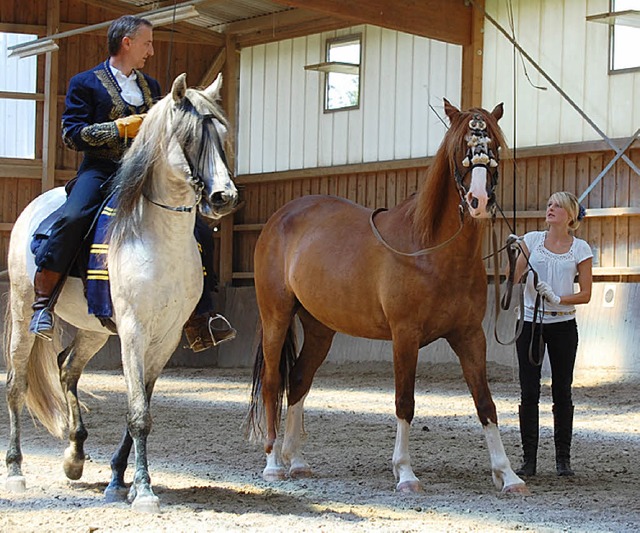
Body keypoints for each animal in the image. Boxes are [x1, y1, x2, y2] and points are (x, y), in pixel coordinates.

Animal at [3, 72, 238, 512]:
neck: (159, 236)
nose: (224, 197)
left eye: (222, 136)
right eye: (190, 138)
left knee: (66, 368)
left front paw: (118, 479)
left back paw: (75, 457)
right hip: (26, 314)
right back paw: (14, 472)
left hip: (94, 329)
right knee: (16, 386)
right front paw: (143, 491)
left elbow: (140, 404)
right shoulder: (132, 330)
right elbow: (138, 412)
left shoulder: (165, 337)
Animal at [248, 97, 528, 492]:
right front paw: (405, 473)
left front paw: (508, 474)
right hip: (276, 316)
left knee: (300, 380)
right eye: (462, 146)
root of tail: (279, 219)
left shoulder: (470, 336)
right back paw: (273, 462)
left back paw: (297, 461)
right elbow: (404, 402)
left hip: (319, 328)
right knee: (274, 382)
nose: (479, 200)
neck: (431, 250)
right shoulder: (405, 335)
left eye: (495, 146)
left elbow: (485, 403)